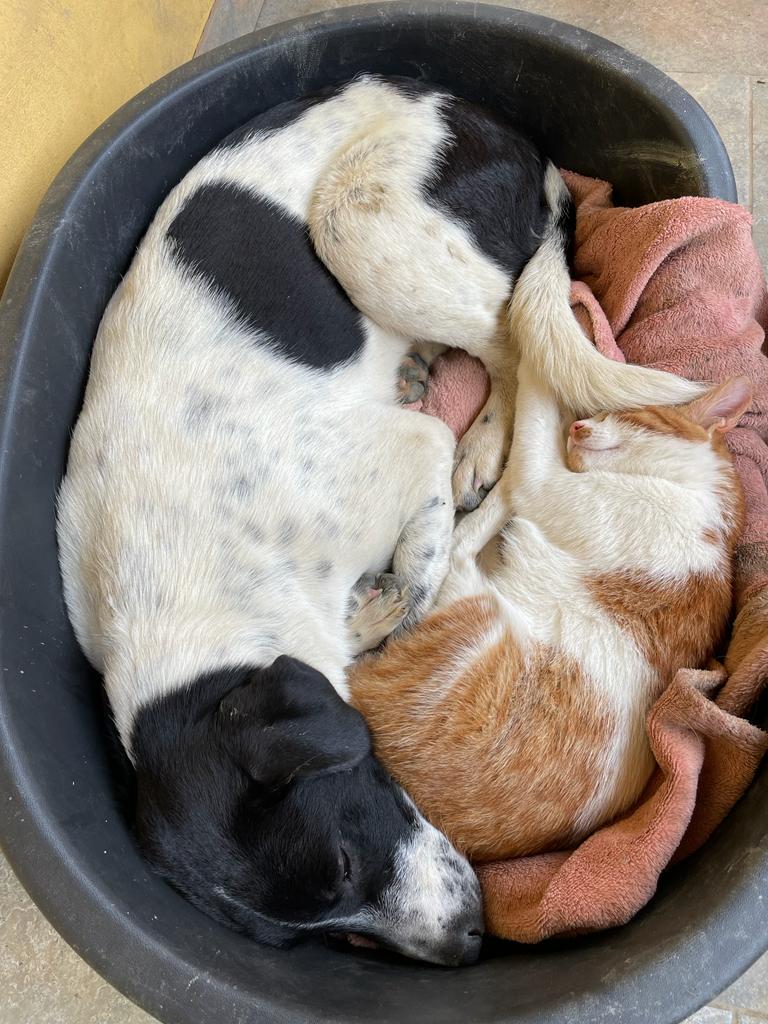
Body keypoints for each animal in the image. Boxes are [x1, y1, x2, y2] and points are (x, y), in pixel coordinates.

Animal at [57, 75, 702, 964]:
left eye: (340, 857)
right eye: (308, 931)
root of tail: (506, 135)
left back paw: (483, 441)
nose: (467, 944)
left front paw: (394, 597)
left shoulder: (407, 449)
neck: (175, 584)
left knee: (514, 344)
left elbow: (422, 564)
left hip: (358, 222)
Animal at [349, 360, 750, 861]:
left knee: (460, 545)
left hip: (477, 613)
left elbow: (532, 423)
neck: (699, 498)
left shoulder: (545, 482)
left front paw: (535, 356)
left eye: (624, 414)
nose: (578, 426)